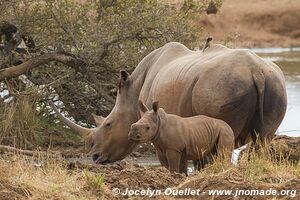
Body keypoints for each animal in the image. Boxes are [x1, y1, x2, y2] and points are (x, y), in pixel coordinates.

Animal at [50, 42, 288, 164]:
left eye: (108, 124)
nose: (95, 157)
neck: (132, 93)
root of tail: (256, 71)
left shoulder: (160, 130)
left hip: (220, 87)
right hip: (275, 82)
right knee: (263, 141)